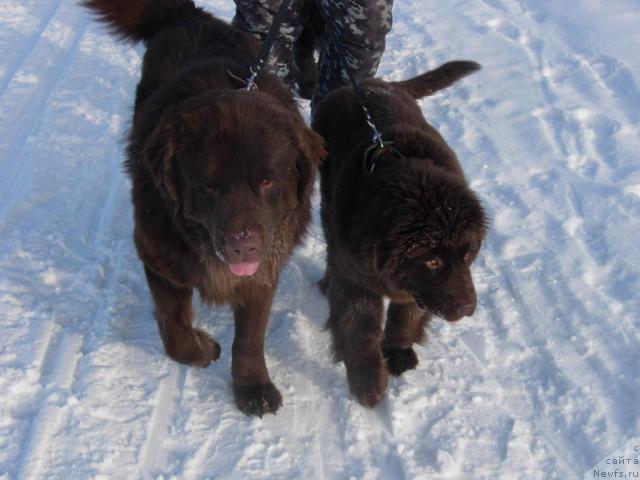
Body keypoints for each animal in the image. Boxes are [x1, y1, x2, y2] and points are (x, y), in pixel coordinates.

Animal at [84, 0, 324, 416]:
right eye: (210, 186)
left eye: (267, 181)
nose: (243, 245)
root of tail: (191, 15)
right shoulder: (158, 252)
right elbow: (174, 331)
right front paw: (201, 347)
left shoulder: (265, 268)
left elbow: (250, 336)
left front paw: (253, 385)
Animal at [312, 59, 488, 404]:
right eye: (432, 261)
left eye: (468, 255)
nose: (467, 308)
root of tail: (374, 84)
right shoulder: (355, 279)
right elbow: (359, 327)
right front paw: (367, 381)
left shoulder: (416, 290)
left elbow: (407, 317)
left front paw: (397, 352)